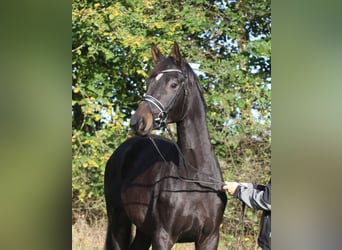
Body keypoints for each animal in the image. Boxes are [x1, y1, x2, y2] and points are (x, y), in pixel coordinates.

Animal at [104, 42, 227, 249]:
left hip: (144, 231)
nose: (138, 122)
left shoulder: (209, 238)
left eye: (173, 84)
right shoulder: (163, 236)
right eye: (148, 83)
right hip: (118, 221)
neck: (195, 178)